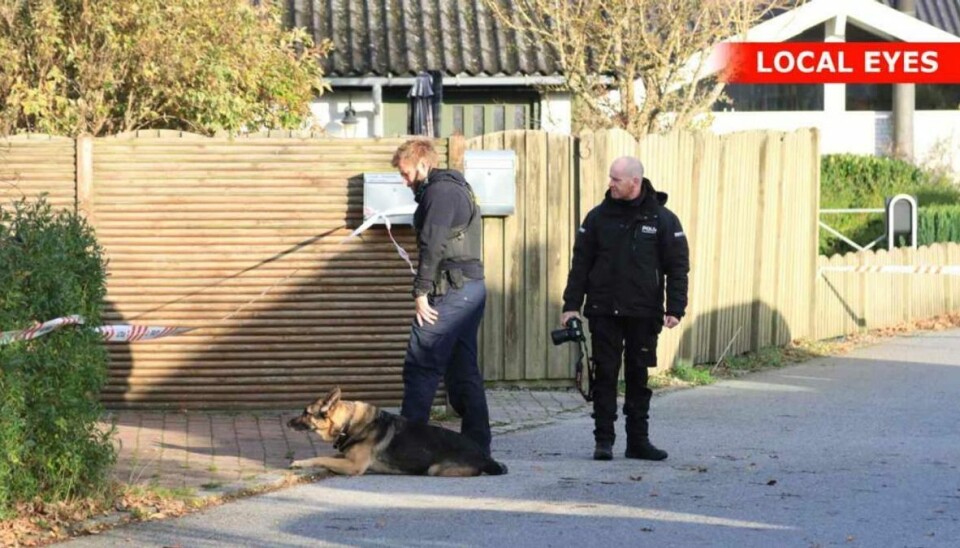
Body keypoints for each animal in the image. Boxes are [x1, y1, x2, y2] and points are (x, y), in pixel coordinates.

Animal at [284, 386, 510, 476]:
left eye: (306, 413)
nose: (287, 423)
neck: (348, 422)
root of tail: (483, 455)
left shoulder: (354, 466)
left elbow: (324, 459)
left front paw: (298, 463)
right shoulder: (345, 456)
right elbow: (323, 456)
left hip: (434, 469)